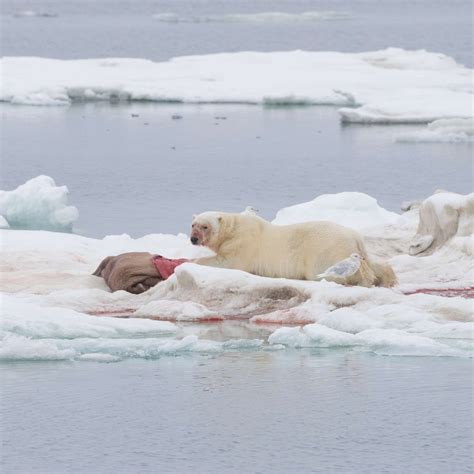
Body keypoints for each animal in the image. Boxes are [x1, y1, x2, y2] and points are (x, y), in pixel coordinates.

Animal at [190, 212, 396, 288]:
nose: (193, 239)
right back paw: (388, 278)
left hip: (325, 250)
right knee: (371, 262)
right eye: (193, 224)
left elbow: (230, 261)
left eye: (205, 226)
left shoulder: (243, 242)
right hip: (356, 249)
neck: (234, 227)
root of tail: (354, 235)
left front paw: (191, 261)